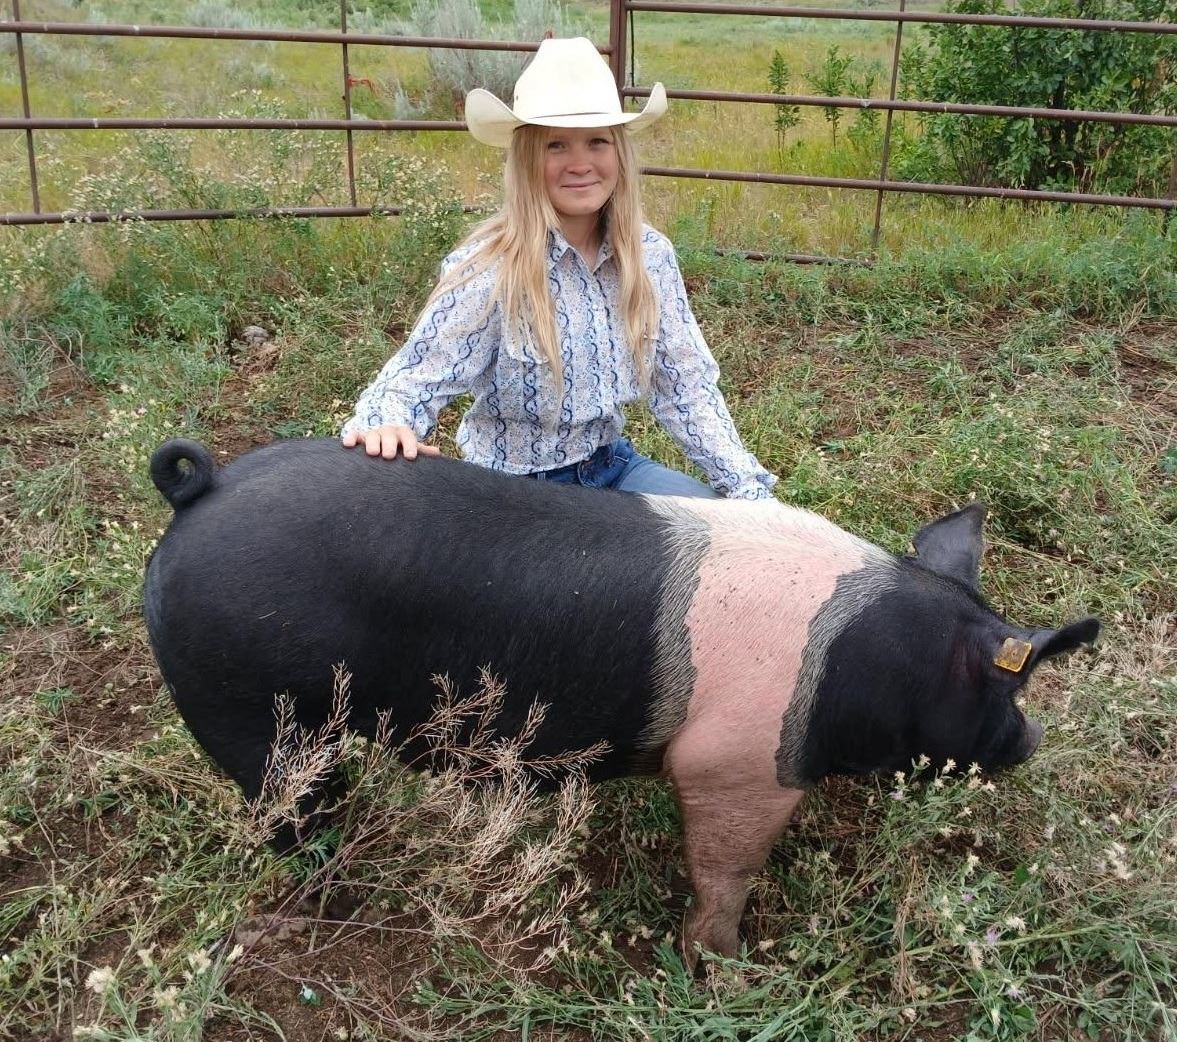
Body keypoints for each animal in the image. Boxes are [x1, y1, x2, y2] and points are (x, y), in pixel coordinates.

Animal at [142, 437, 1099, 965]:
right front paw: (728, 965)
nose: (1033, 738)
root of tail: (203, 489)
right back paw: (335, 887)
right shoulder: (736, 763)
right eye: (1016, 683)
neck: (878, 663)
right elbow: (725, 872)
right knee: (289, 811)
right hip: (248, 710)